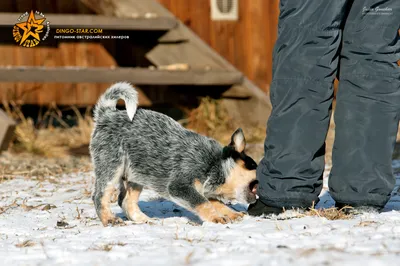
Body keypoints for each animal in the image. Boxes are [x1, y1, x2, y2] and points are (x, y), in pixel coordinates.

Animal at [90, 82, 260, 225]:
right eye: (254, 165)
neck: (214, 163)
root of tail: (106, 114)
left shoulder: (203, 189)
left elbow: (215, 202)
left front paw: (231, 213)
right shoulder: (180, 186)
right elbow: (203, 202)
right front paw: (217, 218)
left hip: (136, 175)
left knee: (126, 201)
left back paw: (144, 219)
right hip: (111, 167)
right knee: (99, 196)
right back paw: (110, 219)